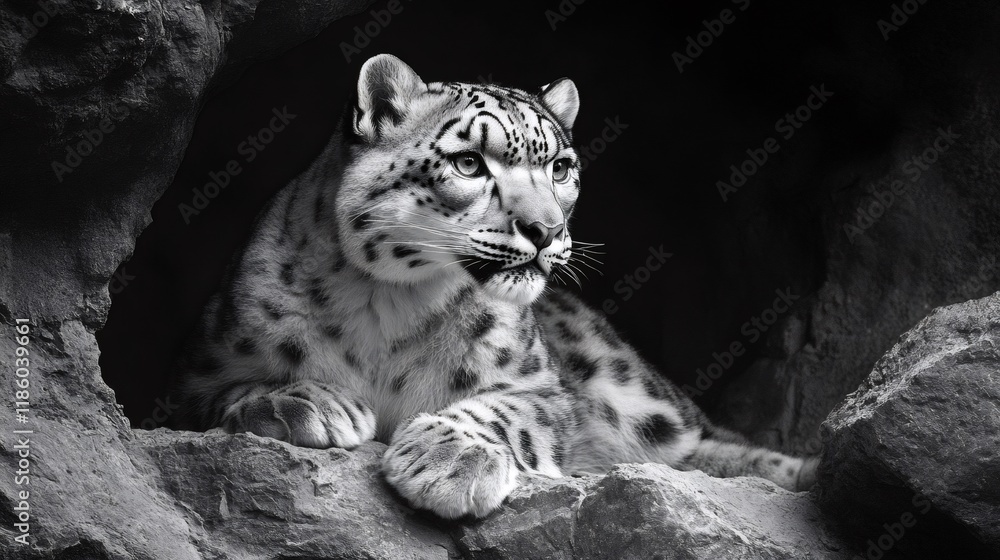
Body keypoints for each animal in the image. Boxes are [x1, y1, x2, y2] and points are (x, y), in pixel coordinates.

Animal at [171, 53, 819, 519]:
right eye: (468, 163)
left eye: (561, 167)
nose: (546, 229)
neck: (388, 306)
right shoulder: (198, 375)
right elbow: (235, 393)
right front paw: (310, 403)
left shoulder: (546, 390)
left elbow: (507, 409)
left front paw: (451, 460)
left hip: (630, 386)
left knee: (703, 441)